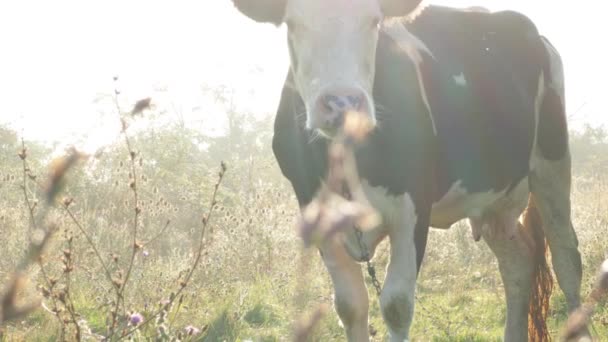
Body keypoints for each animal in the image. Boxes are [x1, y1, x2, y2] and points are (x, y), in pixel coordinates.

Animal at [234, 0, 588, 342]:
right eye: (293, 24)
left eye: (374, 22)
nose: (341, 103)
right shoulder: (316, 208)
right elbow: (350, 305)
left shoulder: (413, 207)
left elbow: (396, 305)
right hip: (491, 199)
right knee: (517, 264)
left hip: (552, 164)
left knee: (566, 259)